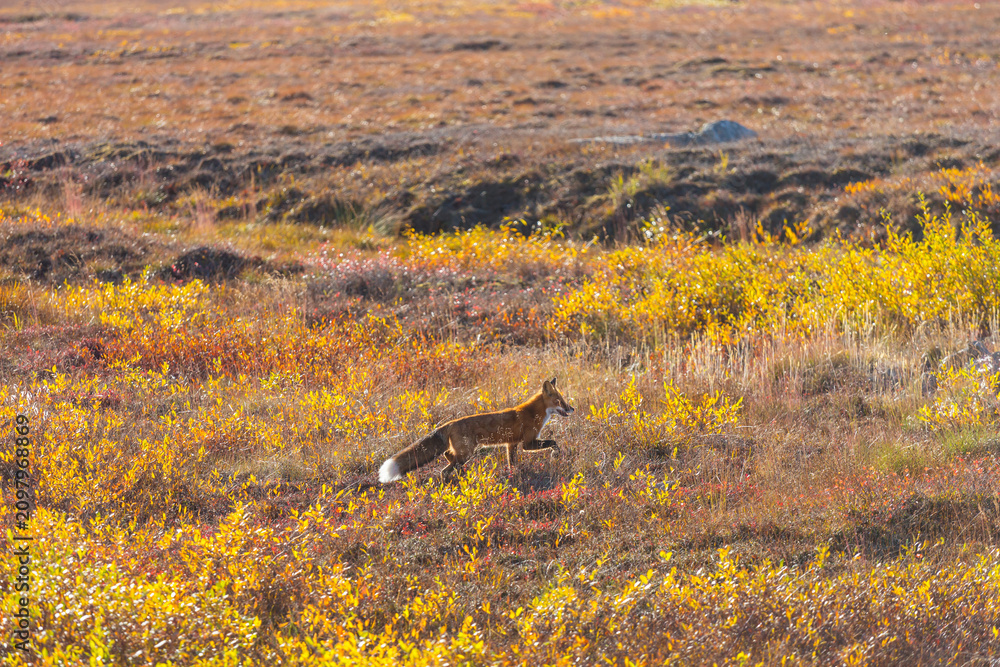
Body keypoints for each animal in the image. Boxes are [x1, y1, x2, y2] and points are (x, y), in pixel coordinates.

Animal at [379, 377, 575, 483]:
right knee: (445, 470)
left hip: (464, 453)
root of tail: (449, 423)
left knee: (448, 457)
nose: (572, 408)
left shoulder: (511, 444)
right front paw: (555, 454)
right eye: (559, 401)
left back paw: (462, 475)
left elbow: (512, 463)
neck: (533, 413)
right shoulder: (528, 443)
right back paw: (450, 482)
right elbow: (554, 442)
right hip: (466, 453)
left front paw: (515, 474)